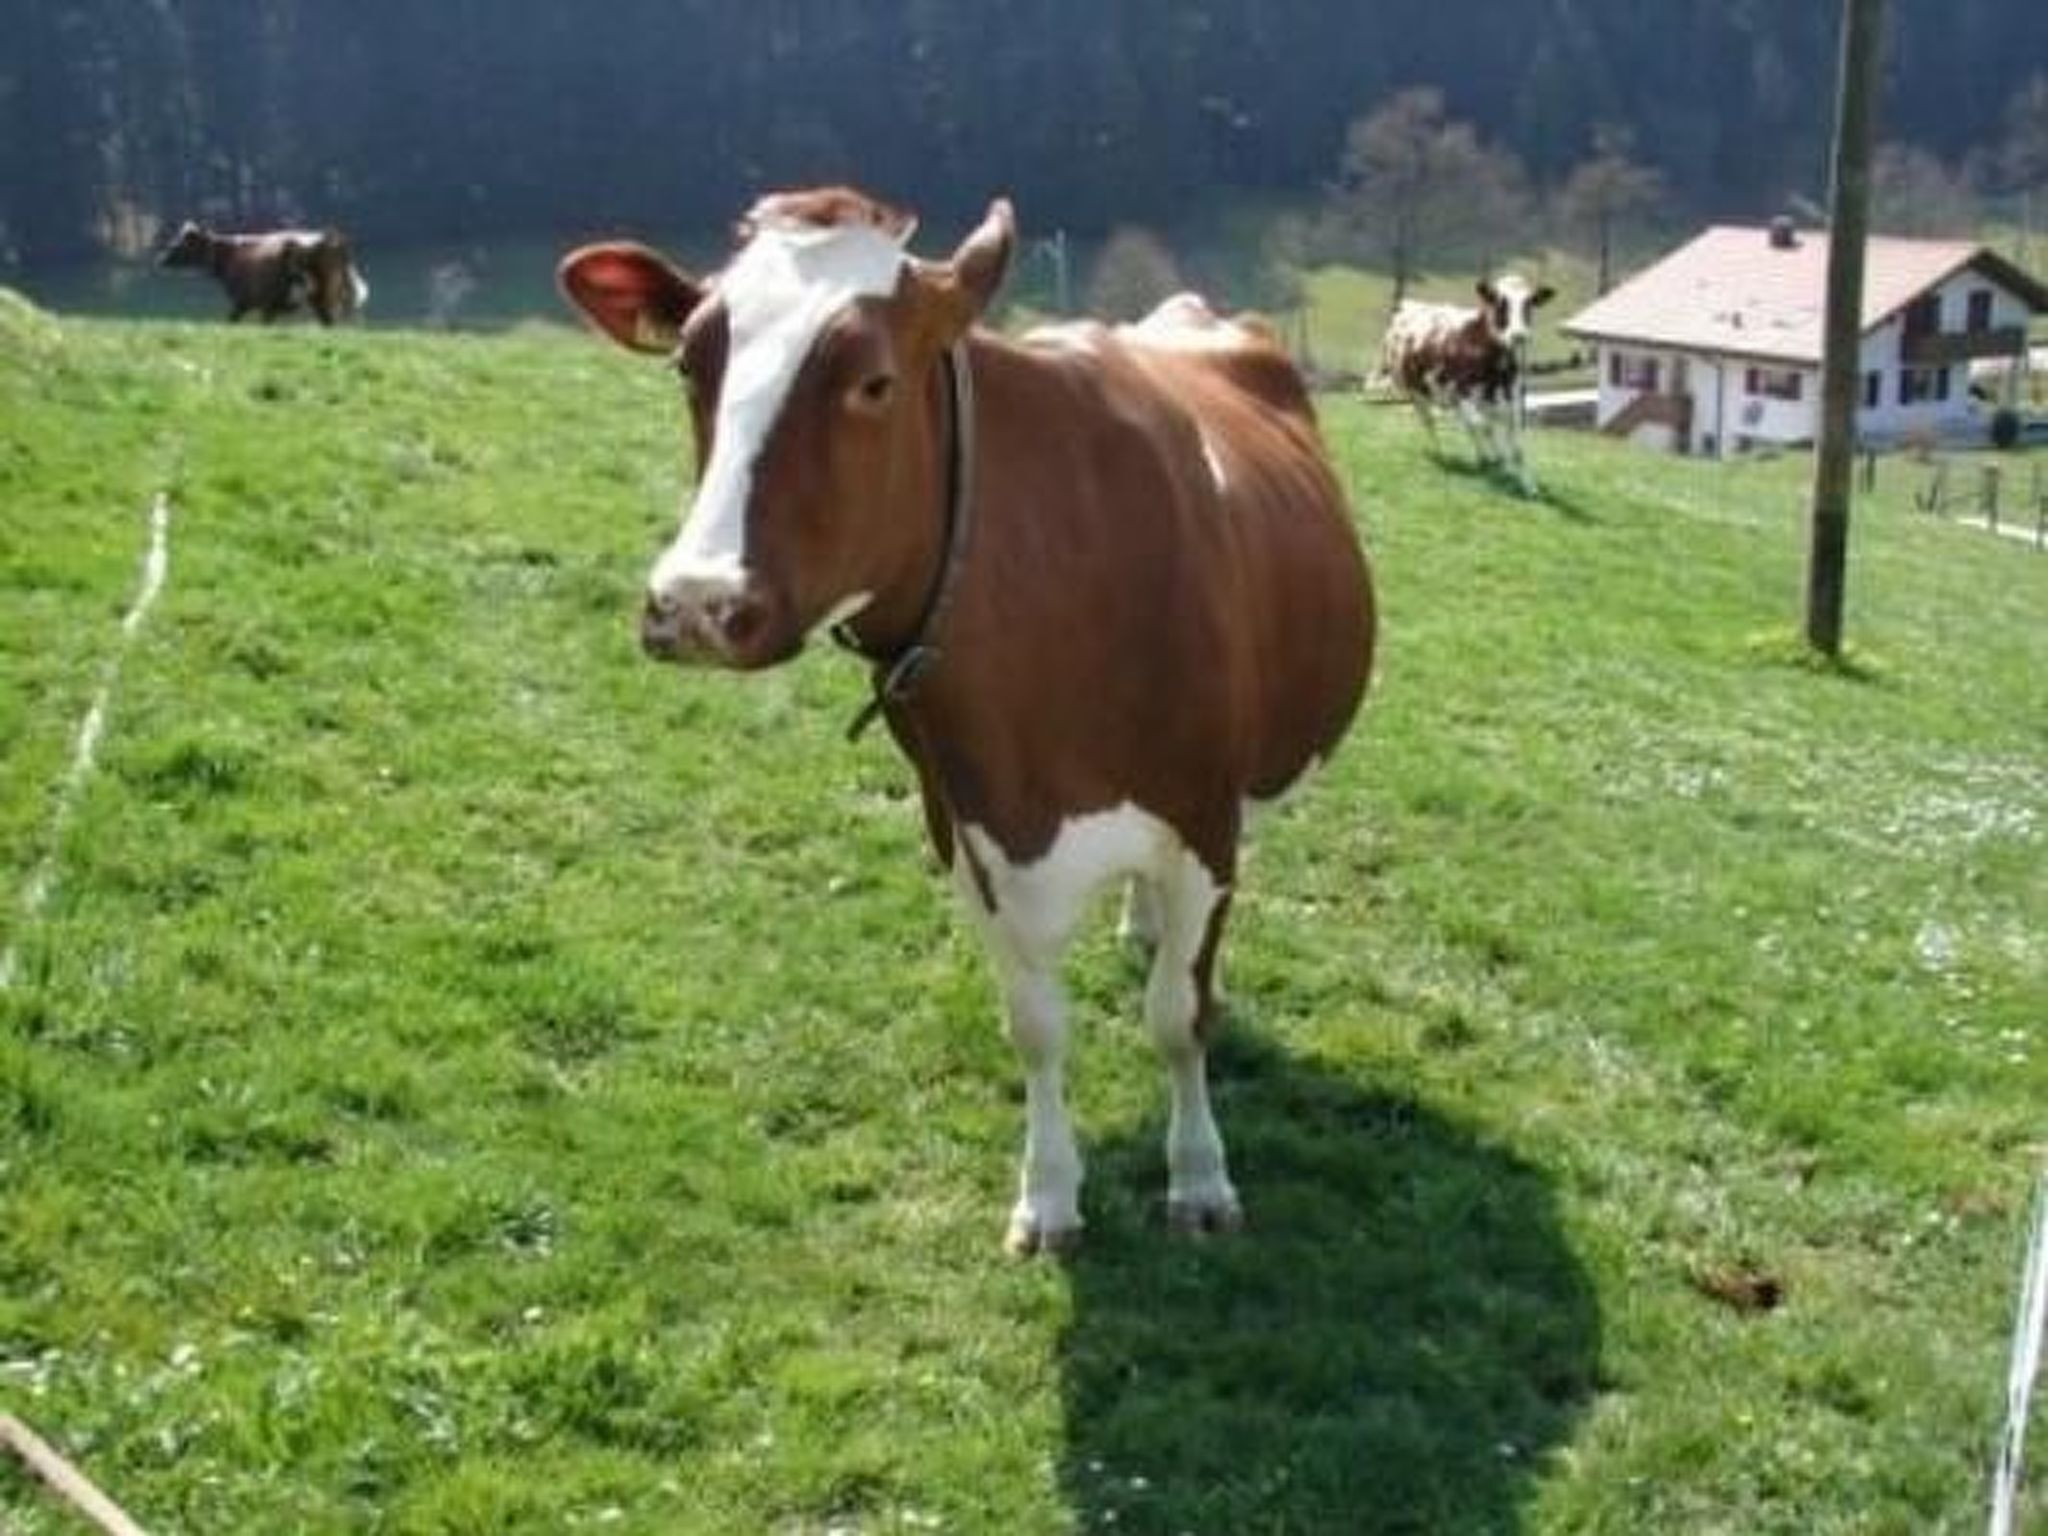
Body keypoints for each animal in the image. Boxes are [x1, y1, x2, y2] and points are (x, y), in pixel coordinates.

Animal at [157, 220, 369, 325]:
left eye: (179, 243)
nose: (160, 259)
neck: (230, 256)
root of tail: (330, 236)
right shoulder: (264, 305)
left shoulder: (249, 302)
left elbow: (232, 322)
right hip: (324, 296)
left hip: (319, 295)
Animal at [558, 187, 1375, 1254]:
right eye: (693, 364)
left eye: (873, 381)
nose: (695, 603)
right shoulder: (967, 828)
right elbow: (1034, 1025)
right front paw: (1050, 1196)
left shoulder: (1202, 822)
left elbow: (1177, 1019)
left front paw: (1199, 1178)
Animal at [1378, 275, 1554, 492]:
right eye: (1499, 302)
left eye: (1529, 304)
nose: (1518, 335)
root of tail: (1409, 306)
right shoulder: (1462, 394)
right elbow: (1484, 427)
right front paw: (1498, 460)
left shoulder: (1514, 402)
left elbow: (1516, 447)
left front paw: (1528, 485)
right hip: (1415, 391)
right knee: (1431, 423)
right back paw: (1444, 455)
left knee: (1467, 425)